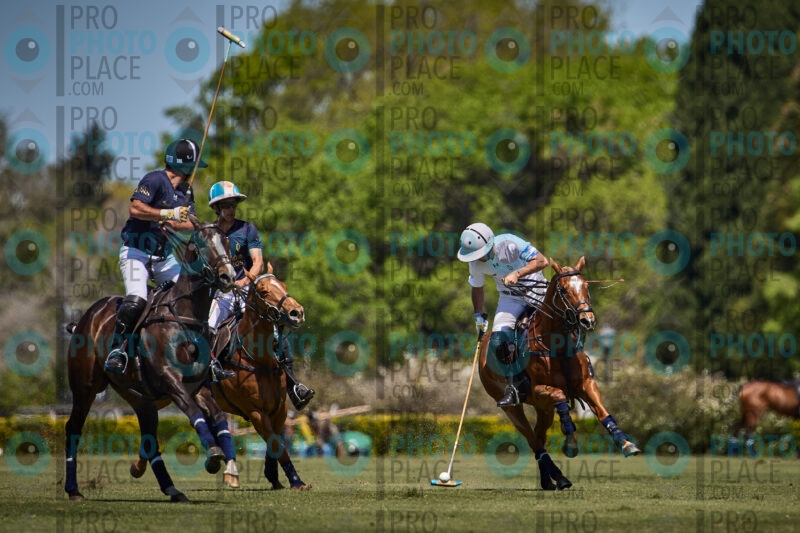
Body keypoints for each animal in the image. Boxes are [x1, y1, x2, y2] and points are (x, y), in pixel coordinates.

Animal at [64, 216, 237, 502]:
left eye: (226, 241)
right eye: (202, 243)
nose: (228, 276)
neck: (184, 316)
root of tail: (84, 319)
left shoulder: (199, 386)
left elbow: (218, 416)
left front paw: (221, 460)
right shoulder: (170, 380)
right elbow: (194, 413)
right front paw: (214, 455)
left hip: (139, 397)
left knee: (150, 439)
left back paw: (172, 489)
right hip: (84, 387)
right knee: (72, 428)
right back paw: (73, 489)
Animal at [190, 263, 310, 490]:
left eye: (283, 285)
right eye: (263, 291)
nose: (296, 313)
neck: (259, 359)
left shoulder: (279, 408)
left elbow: (276, 442)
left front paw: (274, 476)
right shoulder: (255, 411)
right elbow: (276, 443)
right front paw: (296, 481)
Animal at [478, 256, 640, 491]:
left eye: (586, 286)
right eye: (563, 290)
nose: (588, 320)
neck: (557, 344)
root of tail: (483, 343)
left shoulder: (586, 383)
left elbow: (602, 412)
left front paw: (627, 444)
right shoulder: (539, 389)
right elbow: (560, 396)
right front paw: (570, 442)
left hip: (543, 408)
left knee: (539, 435)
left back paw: (549, 480)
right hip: (510, 406)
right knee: (533, 439)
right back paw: (559, 477)